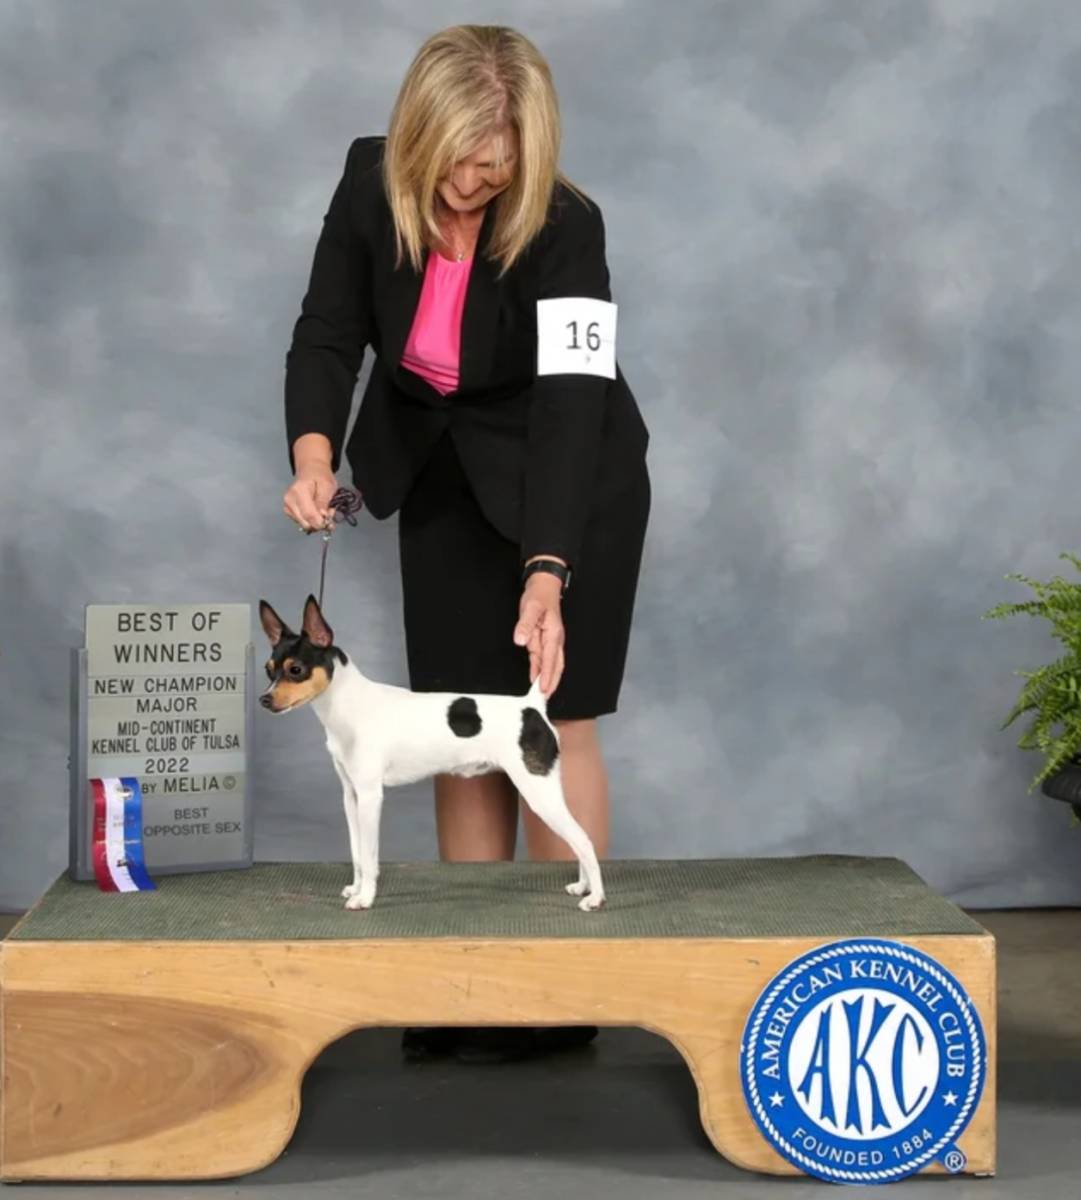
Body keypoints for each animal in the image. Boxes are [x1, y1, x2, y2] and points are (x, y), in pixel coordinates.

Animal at [258, 595, 605, 912]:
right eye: (268, 670)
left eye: (296, 669)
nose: (264, 700)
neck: (347, 706)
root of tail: (531, 706)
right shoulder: (351, 796)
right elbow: (357, 853)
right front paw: (356, 888)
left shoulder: (370, 796)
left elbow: (369, 856)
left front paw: (365, 898)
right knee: (579, 840)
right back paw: (583, 886)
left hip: (539, 793)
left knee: (584, 840)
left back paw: (596, 897)